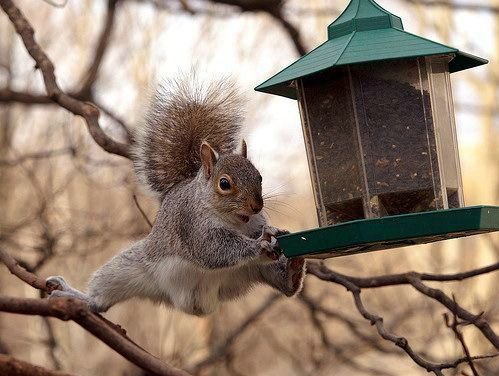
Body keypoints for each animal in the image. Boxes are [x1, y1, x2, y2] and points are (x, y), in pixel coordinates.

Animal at [46, 75, 304, 316]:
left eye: (259, 177)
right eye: (224, 183)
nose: (256, 206)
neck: (233, 220)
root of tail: (194, 304)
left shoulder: (254, 222)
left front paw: (272, 231)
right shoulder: (191, 225)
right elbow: (213, 248)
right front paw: (259, 243)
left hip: (255, 270)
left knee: (285, 287)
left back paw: (294, 268)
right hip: (128, 268)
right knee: (101, 298)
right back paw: (76, 296)